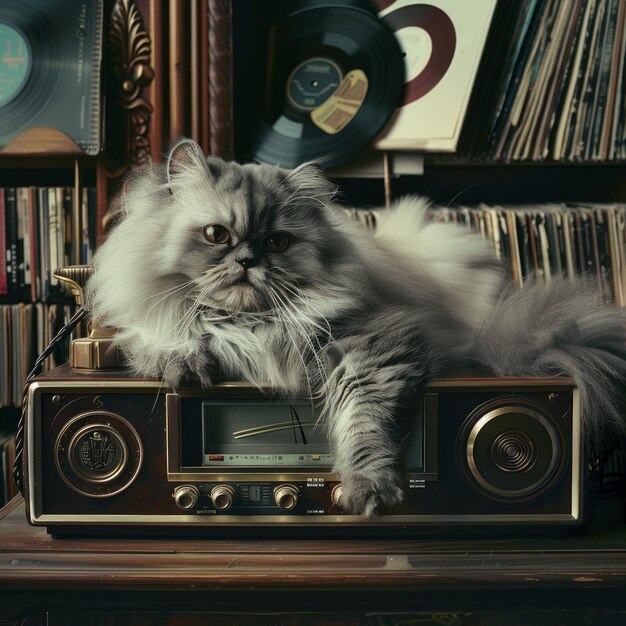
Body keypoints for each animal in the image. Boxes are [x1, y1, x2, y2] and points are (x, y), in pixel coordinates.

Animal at [86, 139, 624, 516]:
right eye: (217, 235)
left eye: (278, 242)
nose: (247, 260)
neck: (252, 321)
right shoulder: (146, 324)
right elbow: (163, 339)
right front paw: (185, 363)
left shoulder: (372, 345)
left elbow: (363, 423)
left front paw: (367, 489)